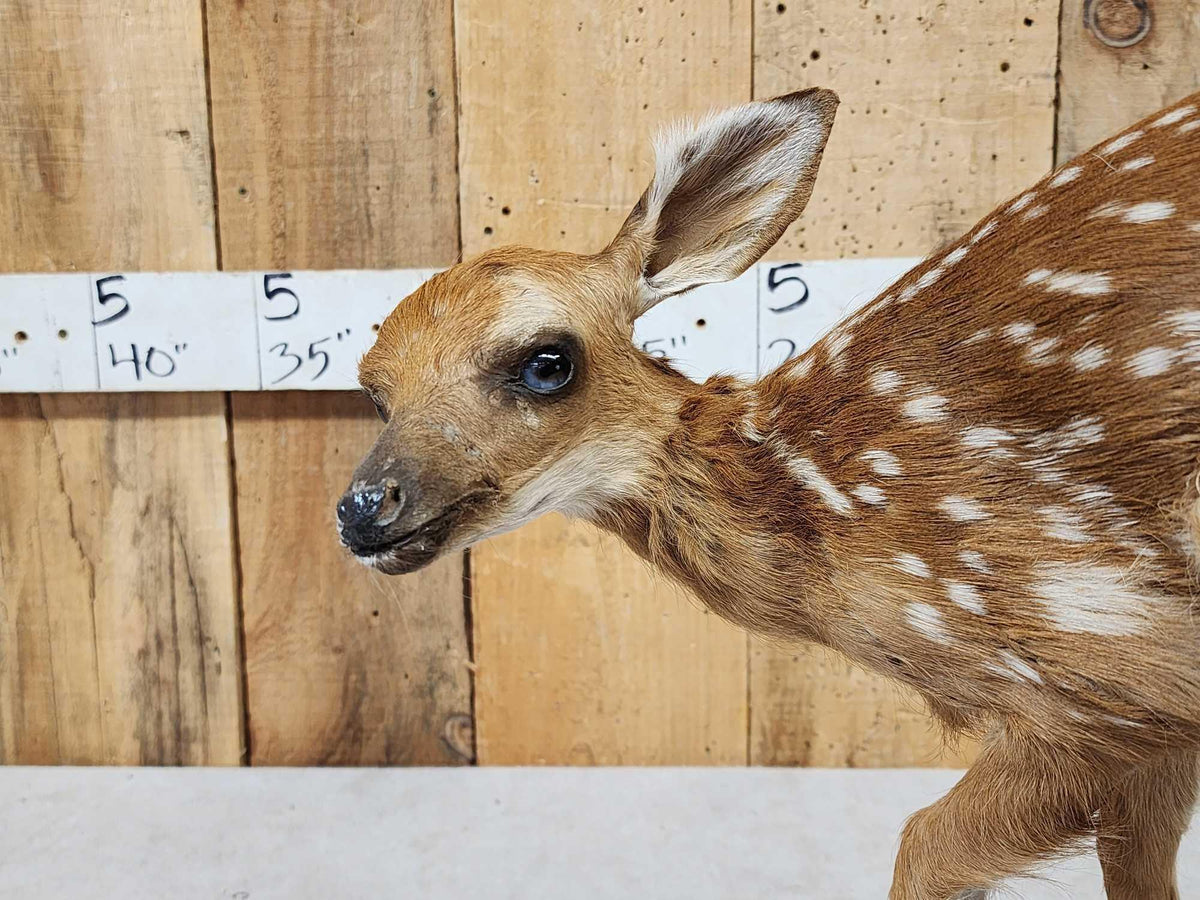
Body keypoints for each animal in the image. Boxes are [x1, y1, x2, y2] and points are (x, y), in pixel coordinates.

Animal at [337, 86, 1200, 898]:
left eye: (548, 361)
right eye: (375, 391)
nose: (361, 508)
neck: (824, 501)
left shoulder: (1105, 657)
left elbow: (925, 845)